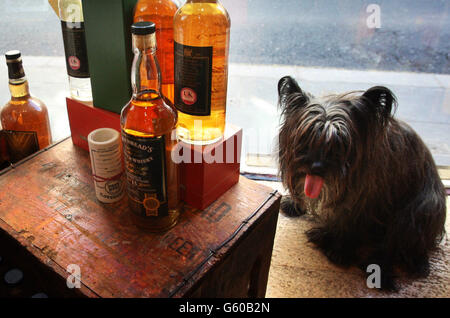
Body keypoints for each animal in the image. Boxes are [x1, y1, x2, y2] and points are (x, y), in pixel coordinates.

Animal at [278, 76, 446, 290]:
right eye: (306, 135)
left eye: (341, 142)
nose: (316, 167)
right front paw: (294, 204)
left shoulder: (368, 196)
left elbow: (352, 220)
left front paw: (340, 249)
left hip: (419, 210)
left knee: (394, 243)